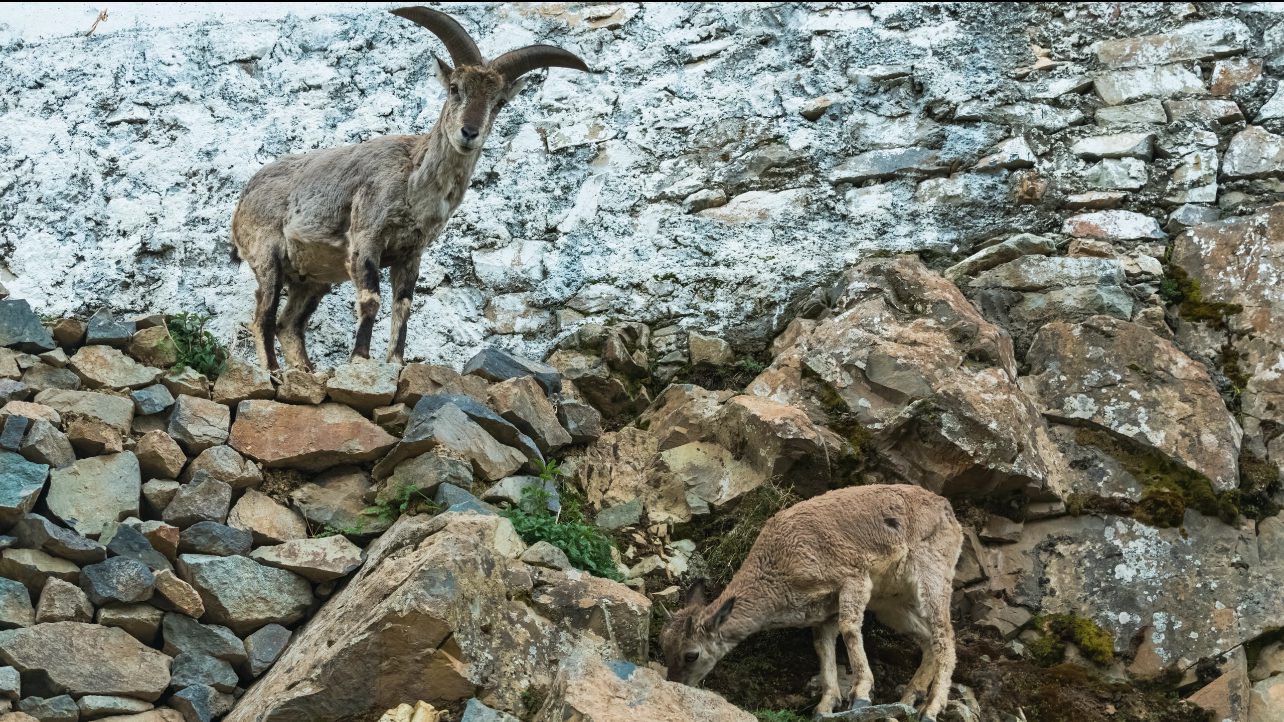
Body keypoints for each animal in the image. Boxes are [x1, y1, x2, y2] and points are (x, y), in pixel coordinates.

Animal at [231, 7, 590, 371]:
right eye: (455, 88)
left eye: (499, 101)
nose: (469, 132)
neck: (413, 186)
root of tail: (245, 198)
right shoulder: (366, 238)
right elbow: (371, 299)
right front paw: (361, 359)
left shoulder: (410, 254)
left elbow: (403, 308)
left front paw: (396, 362)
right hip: (267, 256)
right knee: (263, 317)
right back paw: (274, 373)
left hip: (312, 279)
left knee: (289, 325)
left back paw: (305, 370)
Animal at [659, 484, 963, 722]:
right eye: (665, 648)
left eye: (691, 654)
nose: (677, 684)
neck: (781, 565)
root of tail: (948, 510)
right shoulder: (824, 611)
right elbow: (823, 645)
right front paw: (825, 706)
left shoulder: (854, 578)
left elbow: (849, 628)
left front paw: (861, 695)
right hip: (891, 604)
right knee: (926, 639)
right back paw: (909, 697)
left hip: (932, 573)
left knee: (944, 636)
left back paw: (930, 710)